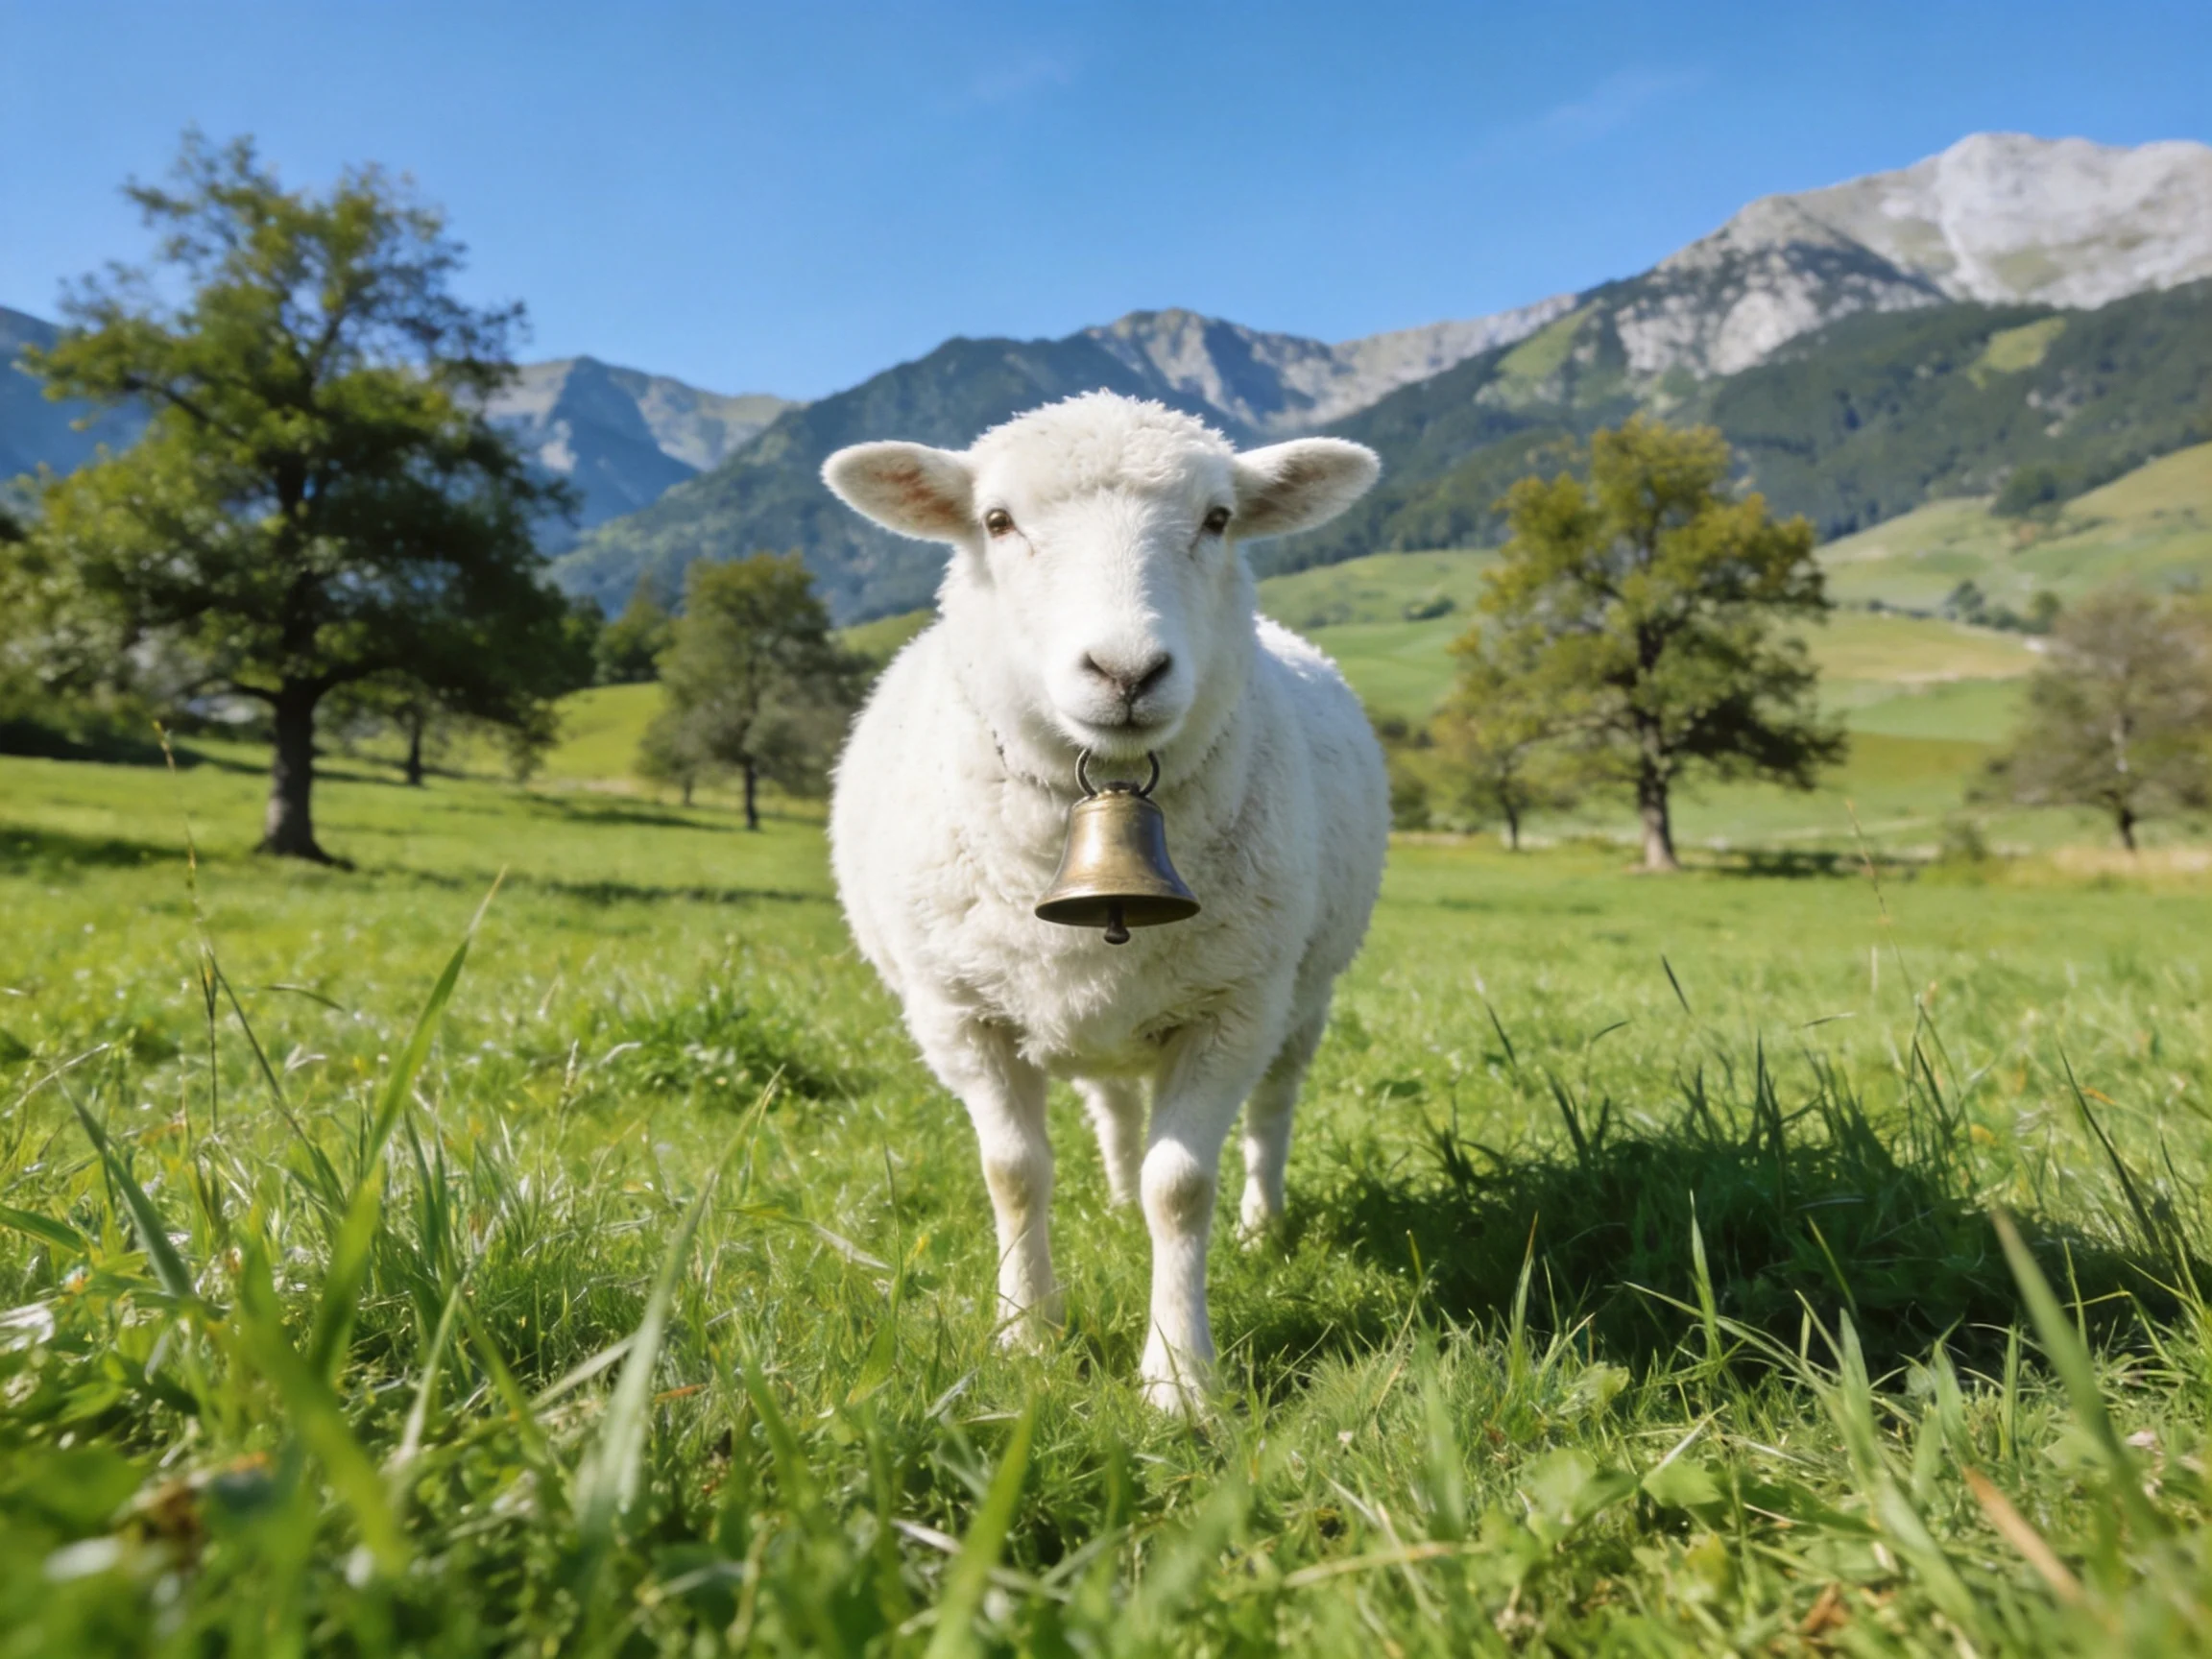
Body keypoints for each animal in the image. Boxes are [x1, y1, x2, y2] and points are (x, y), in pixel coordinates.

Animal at [821, 392, 1388, 1410]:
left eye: (1218, 519)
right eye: (997, 521)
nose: (1126, 674)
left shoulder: (1233, 1010)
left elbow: (1183, 1188)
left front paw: (1180, 1375)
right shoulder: (962, 1014)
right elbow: (1013, 1174)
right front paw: (1026, 1337)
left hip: (1304, 996)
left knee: (1273, 1113)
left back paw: (1262, 1227)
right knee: (1113, 1101)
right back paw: (1117, 1197)